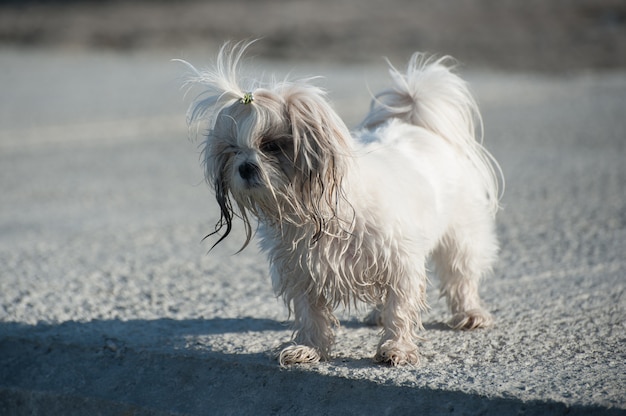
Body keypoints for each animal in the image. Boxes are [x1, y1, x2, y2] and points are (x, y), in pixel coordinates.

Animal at [178, 41, 500, 368]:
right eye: (232, 150)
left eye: (270, 145)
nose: (244, 167)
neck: (315, 213)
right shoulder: (301, 271)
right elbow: (311, 314)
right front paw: (309, 348)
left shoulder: (400, 261)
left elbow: (400, 308)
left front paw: (396, 348)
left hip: (461, 236)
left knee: (461, 276)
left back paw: (470, 313)